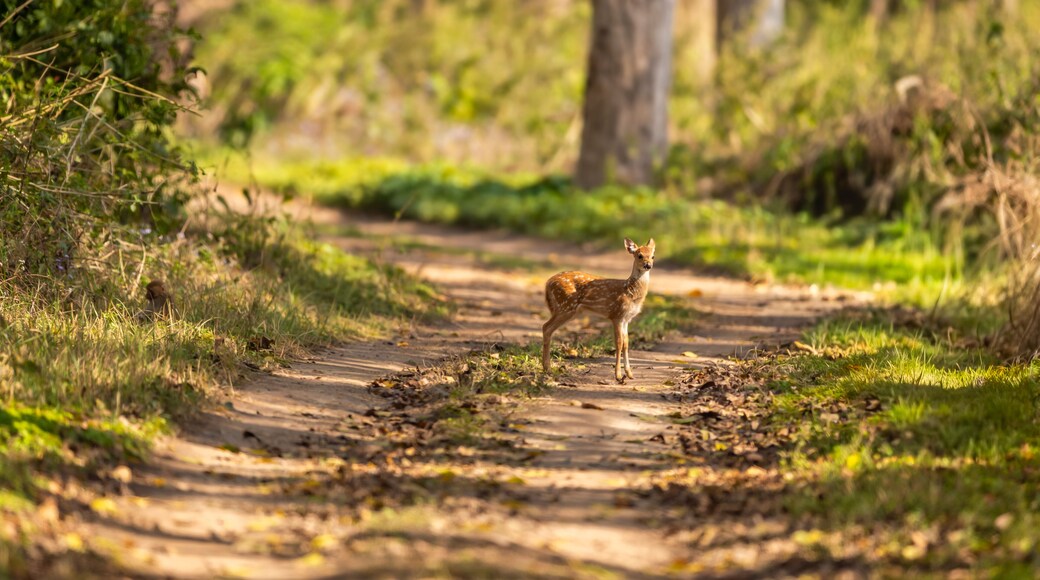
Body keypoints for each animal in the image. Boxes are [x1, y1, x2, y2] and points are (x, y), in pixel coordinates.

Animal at [542, 238, 655, 382]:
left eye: (652, 256)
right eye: (639, 255)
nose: (648, 265)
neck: (630, 292)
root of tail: (548, 283)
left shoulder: (626, 319)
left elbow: (626, 343)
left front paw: (629, 374)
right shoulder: (616, 315)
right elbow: (618, 343)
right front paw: (618, 375)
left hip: (566, 309)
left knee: (547, 328)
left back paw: (546, 368)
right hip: (565, 306)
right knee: (546, 327)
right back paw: (548, 368)